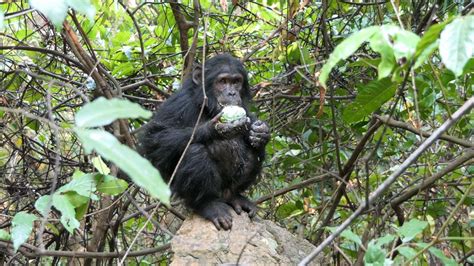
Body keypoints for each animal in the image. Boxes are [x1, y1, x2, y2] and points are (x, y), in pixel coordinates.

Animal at [138, 54, 270, 231]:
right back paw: (209, 205)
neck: (207, 105)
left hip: (227, 188)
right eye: (223, 81)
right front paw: (214, 128)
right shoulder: (178, 104)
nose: (232, 93)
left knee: (255, 152)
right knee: (194, 151)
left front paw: (260, 132)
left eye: (236, 81)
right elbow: (155, 139)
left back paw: (236, 197)